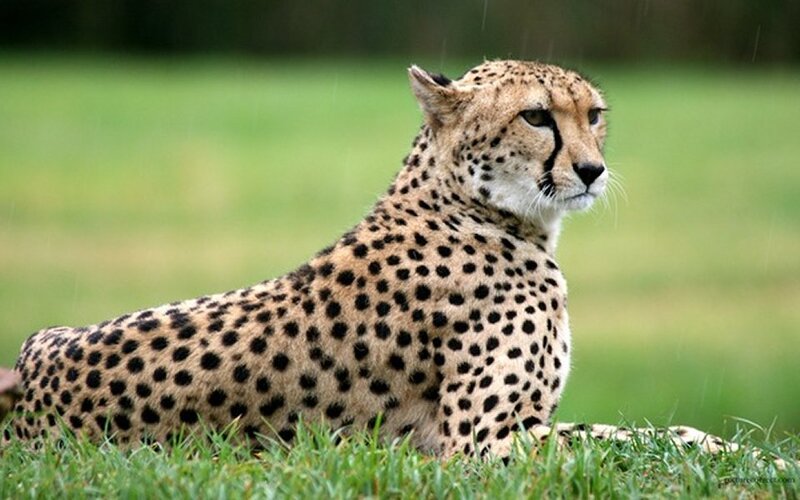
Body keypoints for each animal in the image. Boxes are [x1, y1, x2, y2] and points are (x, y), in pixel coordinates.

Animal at [0, 60, 783, 466]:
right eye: (536, 116)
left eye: (594, 115)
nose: (592, 171)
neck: (478, 208)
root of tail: (27, 384)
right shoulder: (479, 444)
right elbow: (641, 436)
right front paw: (758, 457)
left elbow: (649, 432)